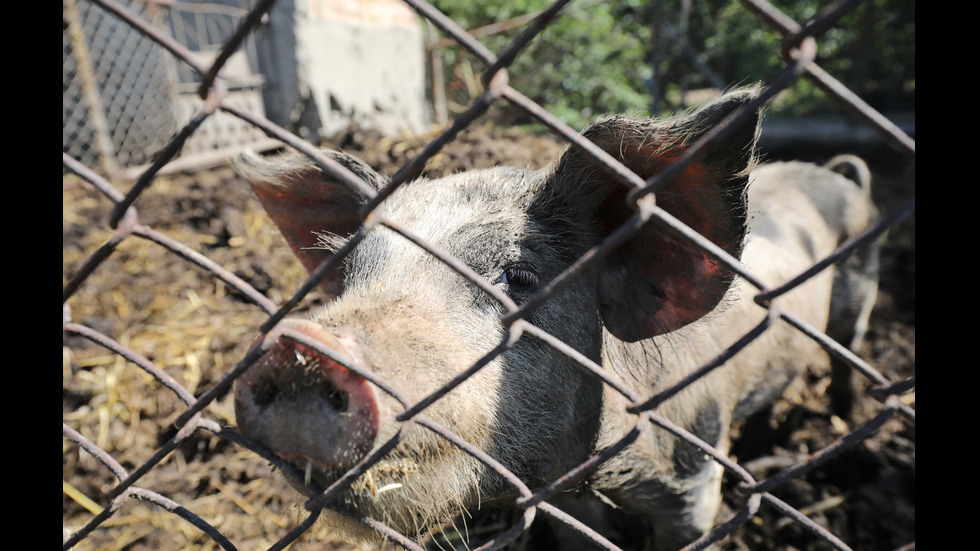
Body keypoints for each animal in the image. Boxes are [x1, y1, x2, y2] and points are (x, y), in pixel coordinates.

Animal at [232, 88, 880, 548]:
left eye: (517, 279)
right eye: (353, 274)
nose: (300, 348)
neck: (605, 474)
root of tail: (840, 176)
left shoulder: (696, 479)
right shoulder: (562, 496)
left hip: (860, 294)